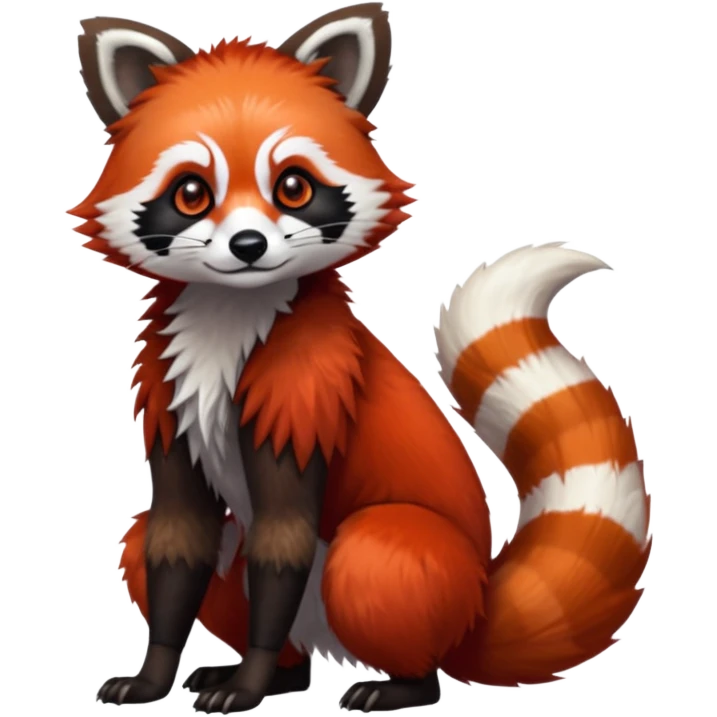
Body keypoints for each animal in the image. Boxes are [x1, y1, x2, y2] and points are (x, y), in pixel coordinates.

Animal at [70, 4, 652, 714]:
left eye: (293, 187)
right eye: (190, 194)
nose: (248, 245)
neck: (229, 315)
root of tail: (477, 607)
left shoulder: (304, 390)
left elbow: (284, 532)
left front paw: (250, 680)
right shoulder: (172, 394)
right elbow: (176, 534)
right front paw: (157, 672)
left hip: (408, 571)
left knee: (375, 553)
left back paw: (399, 681)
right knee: (158, 539)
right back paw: (287, 670)